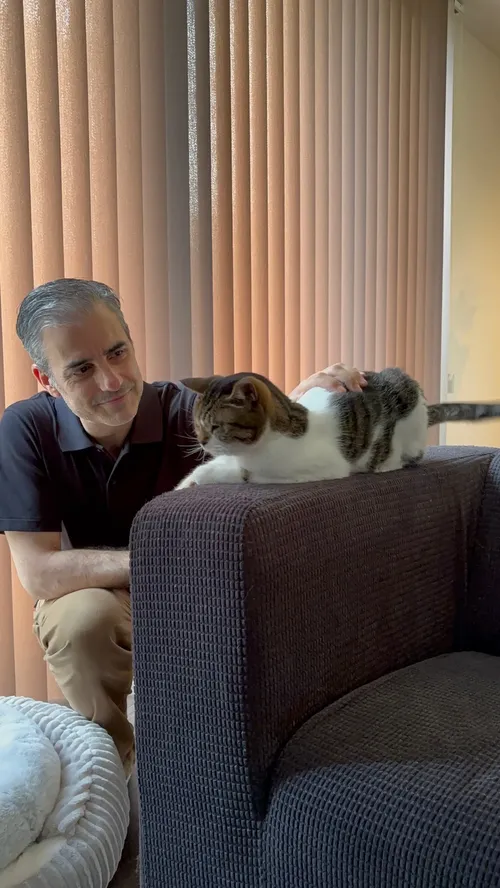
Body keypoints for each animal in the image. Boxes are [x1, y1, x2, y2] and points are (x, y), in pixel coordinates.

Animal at [175, 368, 500, 489]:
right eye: (196, 424)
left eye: (215, 426)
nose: (202, 441)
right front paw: (188, 481)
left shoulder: (321, 466)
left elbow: (247, 474)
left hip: (407, 426)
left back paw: (388, 463)